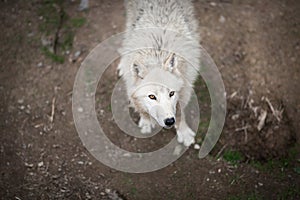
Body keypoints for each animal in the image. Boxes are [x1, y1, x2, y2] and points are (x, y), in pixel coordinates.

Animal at [118, 0, 202, 147]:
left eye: (171, 93)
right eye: (152, 96)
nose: (169, 121)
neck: (158, 53)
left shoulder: (183, 93)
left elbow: (180, 114)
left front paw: (184, 133)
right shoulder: (131, 89)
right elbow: (141, 109)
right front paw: (146, 122)